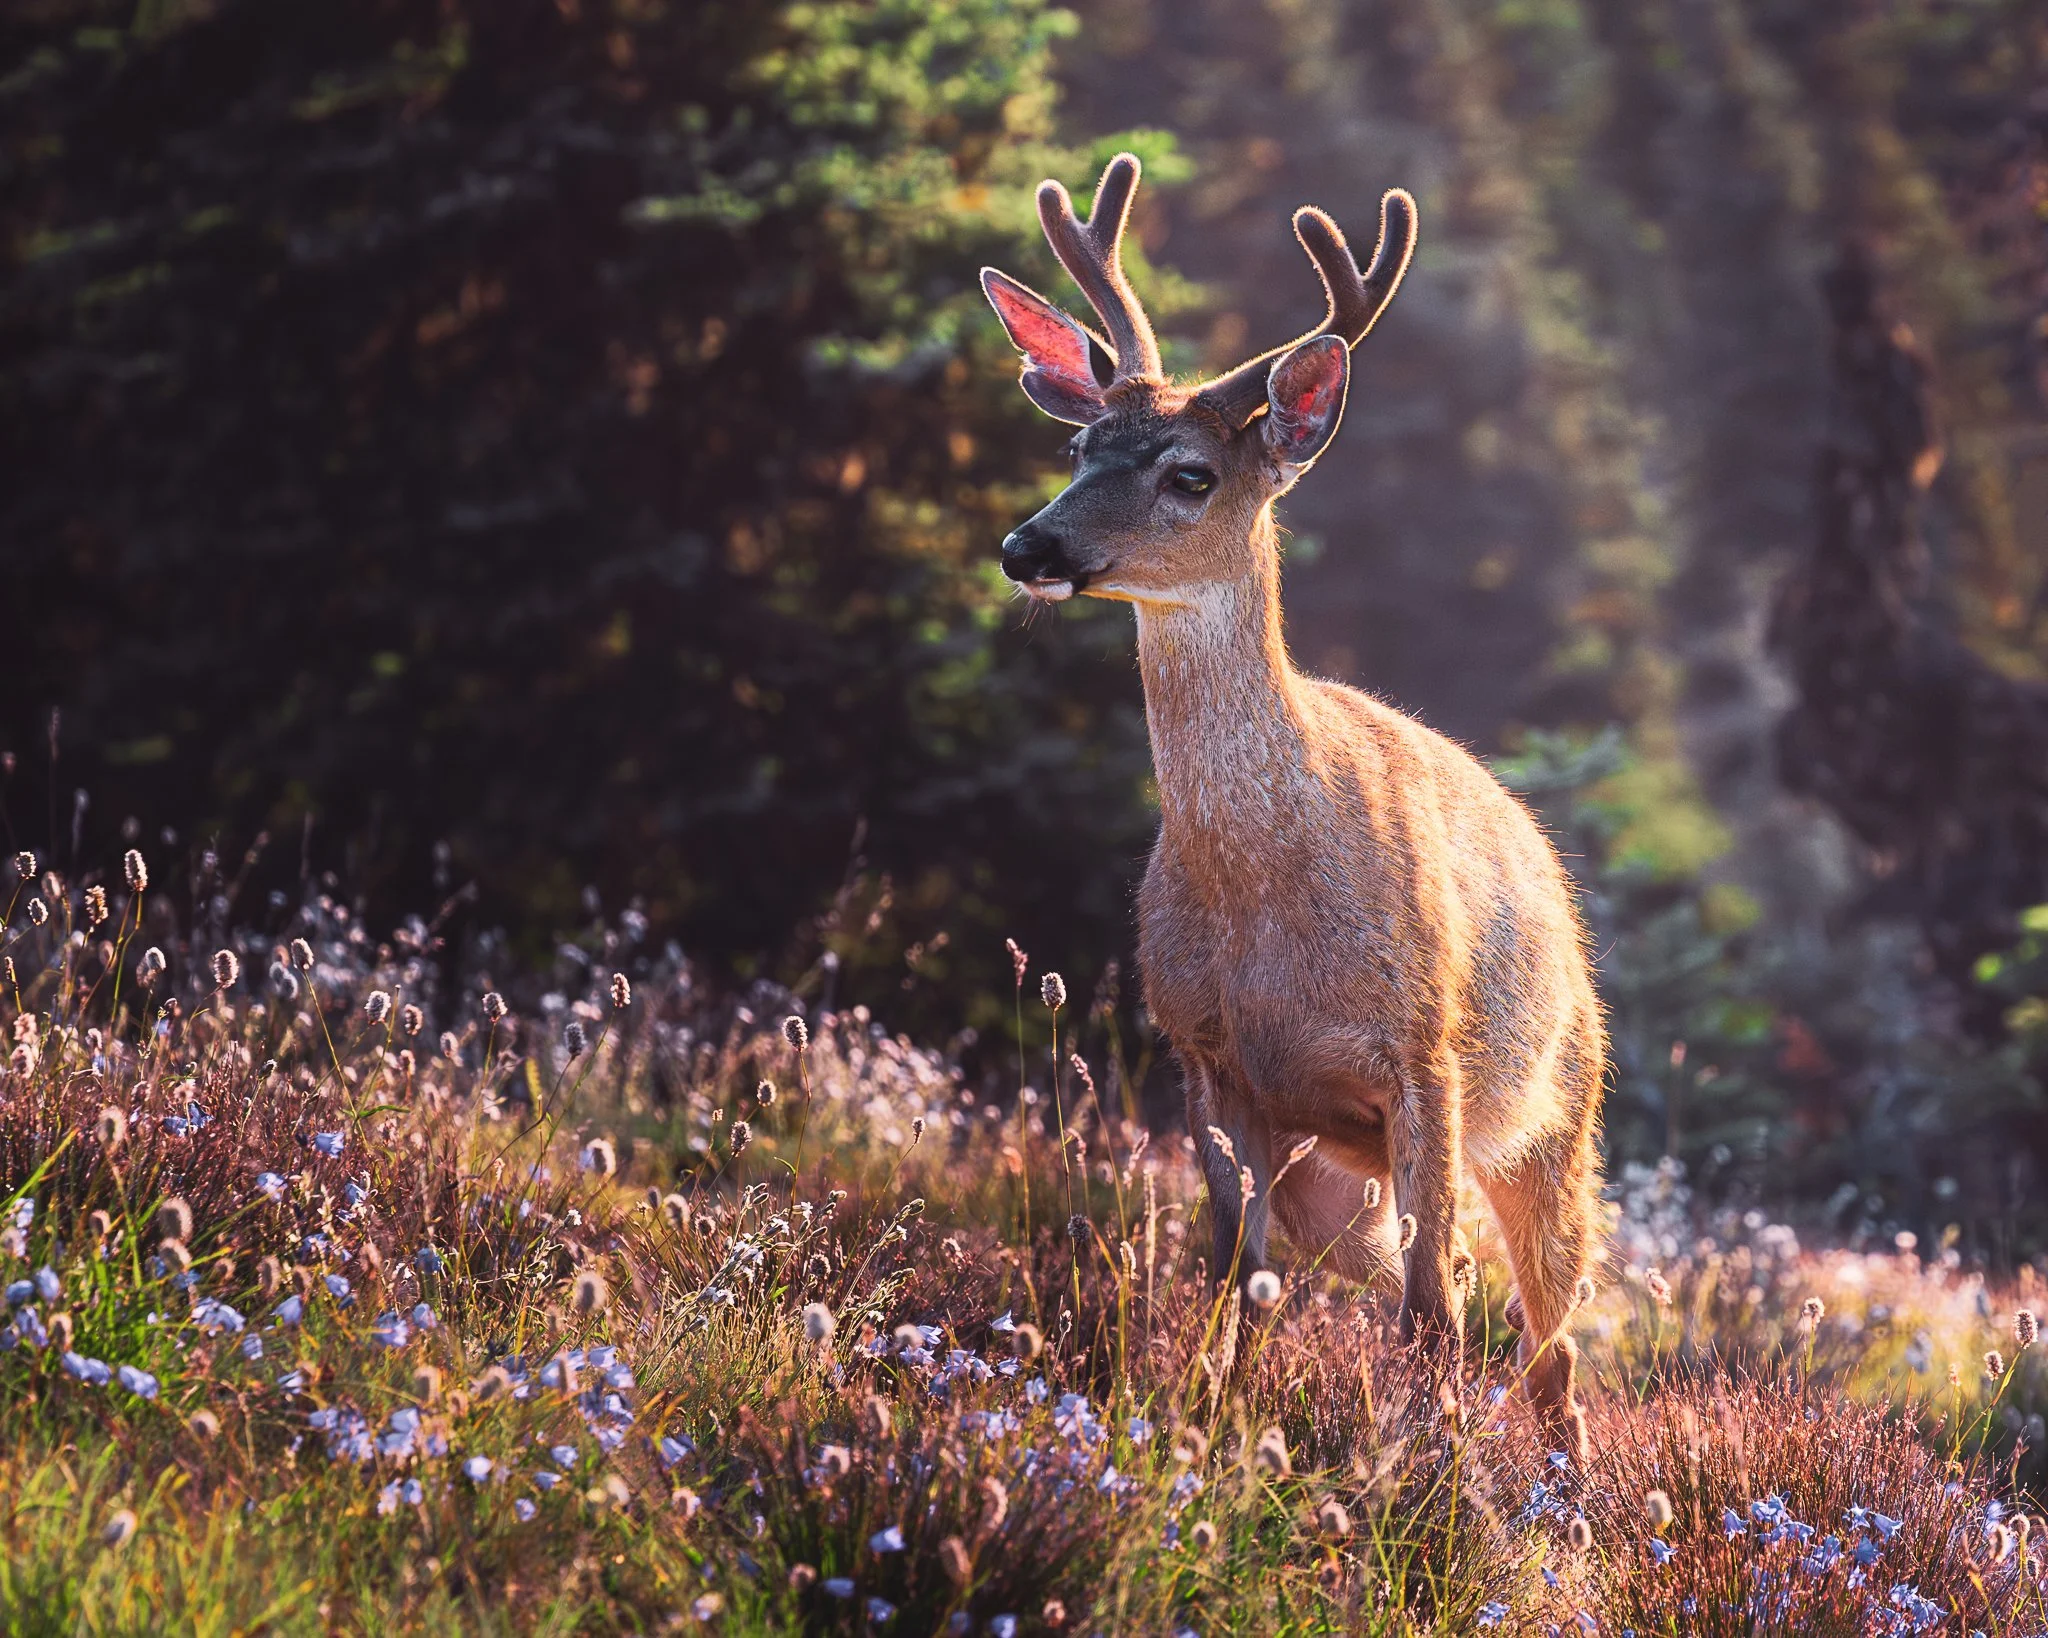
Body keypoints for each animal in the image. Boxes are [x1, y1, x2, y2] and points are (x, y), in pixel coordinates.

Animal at [980, 153, 1606, 1457]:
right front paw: (1208, 1430)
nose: (1028, 547)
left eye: (1190, 474)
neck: (1270, 899)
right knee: (1443, 1293)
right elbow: (1236, 1275)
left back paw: (1555, 1491)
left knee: (1545, 1341)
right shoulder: (1208, 1060)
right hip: (1335, 1176)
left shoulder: (1422, 1056)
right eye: (1077, 450)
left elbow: (1428, 1314)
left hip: (1553, 1121)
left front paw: (1417, 1478)